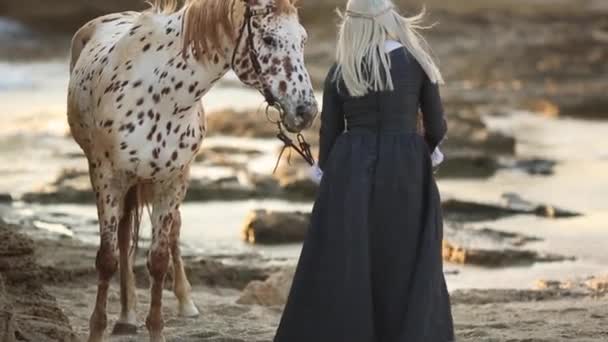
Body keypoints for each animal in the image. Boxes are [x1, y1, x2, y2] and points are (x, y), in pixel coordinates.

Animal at [67, 0, 318, 340]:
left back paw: (179, 304)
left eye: (303, 40)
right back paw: (126, 316)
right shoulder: (105, 177)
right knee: (123, 235)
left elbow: (158, 260)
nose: (306, 112)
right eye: (268, 39)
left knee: (168, 230)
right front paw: (97, 329)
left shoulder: (171, 180)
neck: (161, 94)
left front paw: (157, 329)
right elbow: (106, 259)